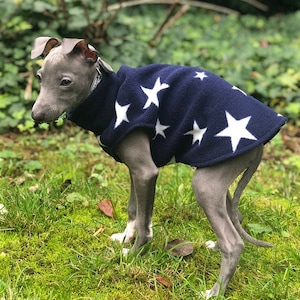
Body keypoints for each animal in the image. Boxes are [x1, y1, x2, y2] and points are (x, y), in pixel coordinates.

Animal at [30, 37, 286, 298]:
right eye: (39, 77)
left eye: (65, 81)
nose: (36, 115)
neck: (111, 96)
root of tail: (261, 143)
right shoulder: (135, 171)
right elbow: (134, 209)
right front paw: (125, 237)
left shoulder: (146, 171)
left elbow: (145, 225)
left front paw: (134, 254)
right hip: (218, 174)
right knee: (236, 218)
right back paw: (214, 247)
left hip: (206, 183)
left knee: (233, 244)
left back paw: (215, 291)